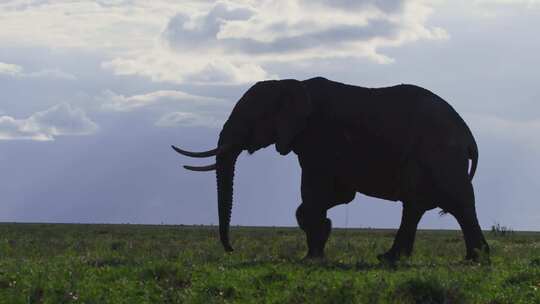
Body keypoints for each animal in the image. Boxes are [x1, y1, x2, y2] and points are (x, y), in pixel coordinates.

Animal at [172, 77, 490, 262]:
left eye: (250, 119)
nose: (231, 250)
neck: (290, 83)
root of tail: (468, 136)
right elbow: (335, 195)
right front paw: (320, 241)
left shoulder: (320, 137)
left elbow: (317, 191)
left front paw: (312, 255)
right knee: (420, 205)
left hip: (440, 153)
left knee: (454, 202)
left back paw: (473, 259)